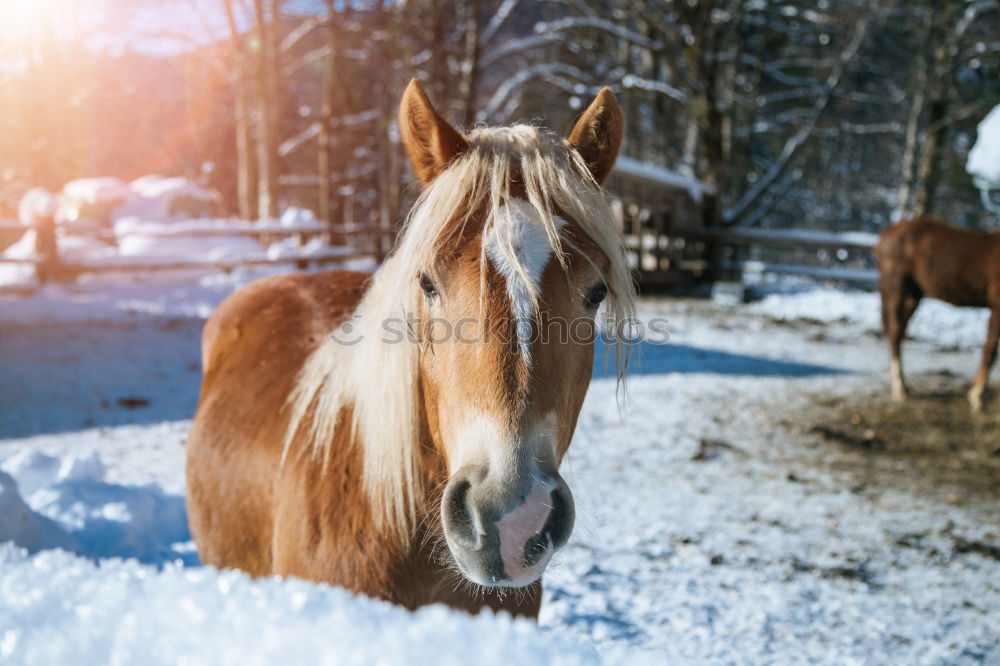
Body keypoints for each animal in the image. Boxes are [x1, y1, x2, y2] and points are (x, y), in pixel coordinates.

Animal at [876, 215, 1000, 410]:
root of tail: (886, 235)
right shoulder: (997, 307)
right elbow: (991, 350)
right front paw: (977, 396)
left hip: (913, 294)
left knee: (900, 331)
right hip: (897, 287)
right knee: (895, 333)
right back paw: (899, 389)